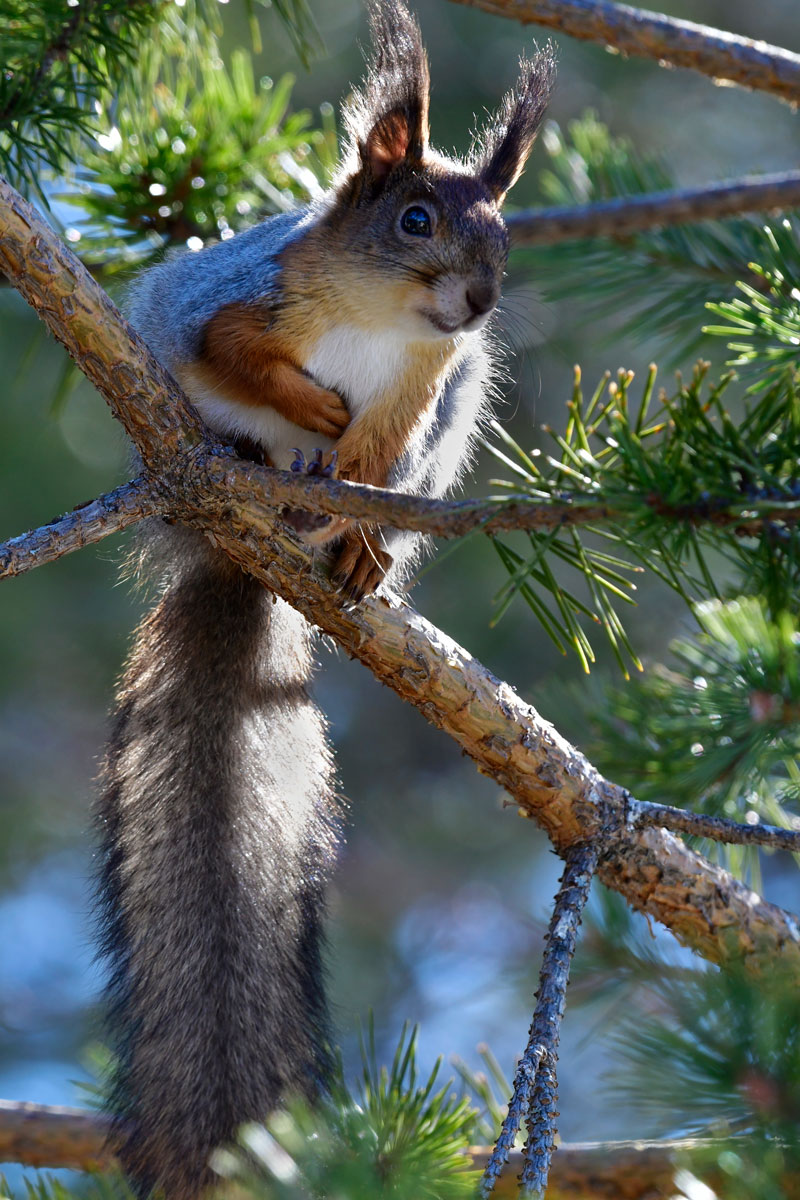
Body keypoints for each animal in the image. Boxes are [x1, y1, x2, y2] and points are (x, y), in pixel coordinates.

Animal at [95, 3, 554, 1198]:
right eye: (411, 218)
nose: (479, 303)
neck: (387, 323)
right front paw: (302, 405)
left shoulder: (425, 390)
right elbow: (235, 353)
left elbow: (380, 453)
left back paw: (352, 548)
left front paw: (358, 503)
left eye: (503, 240)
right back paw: (257, 456)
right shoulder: (237, 303)